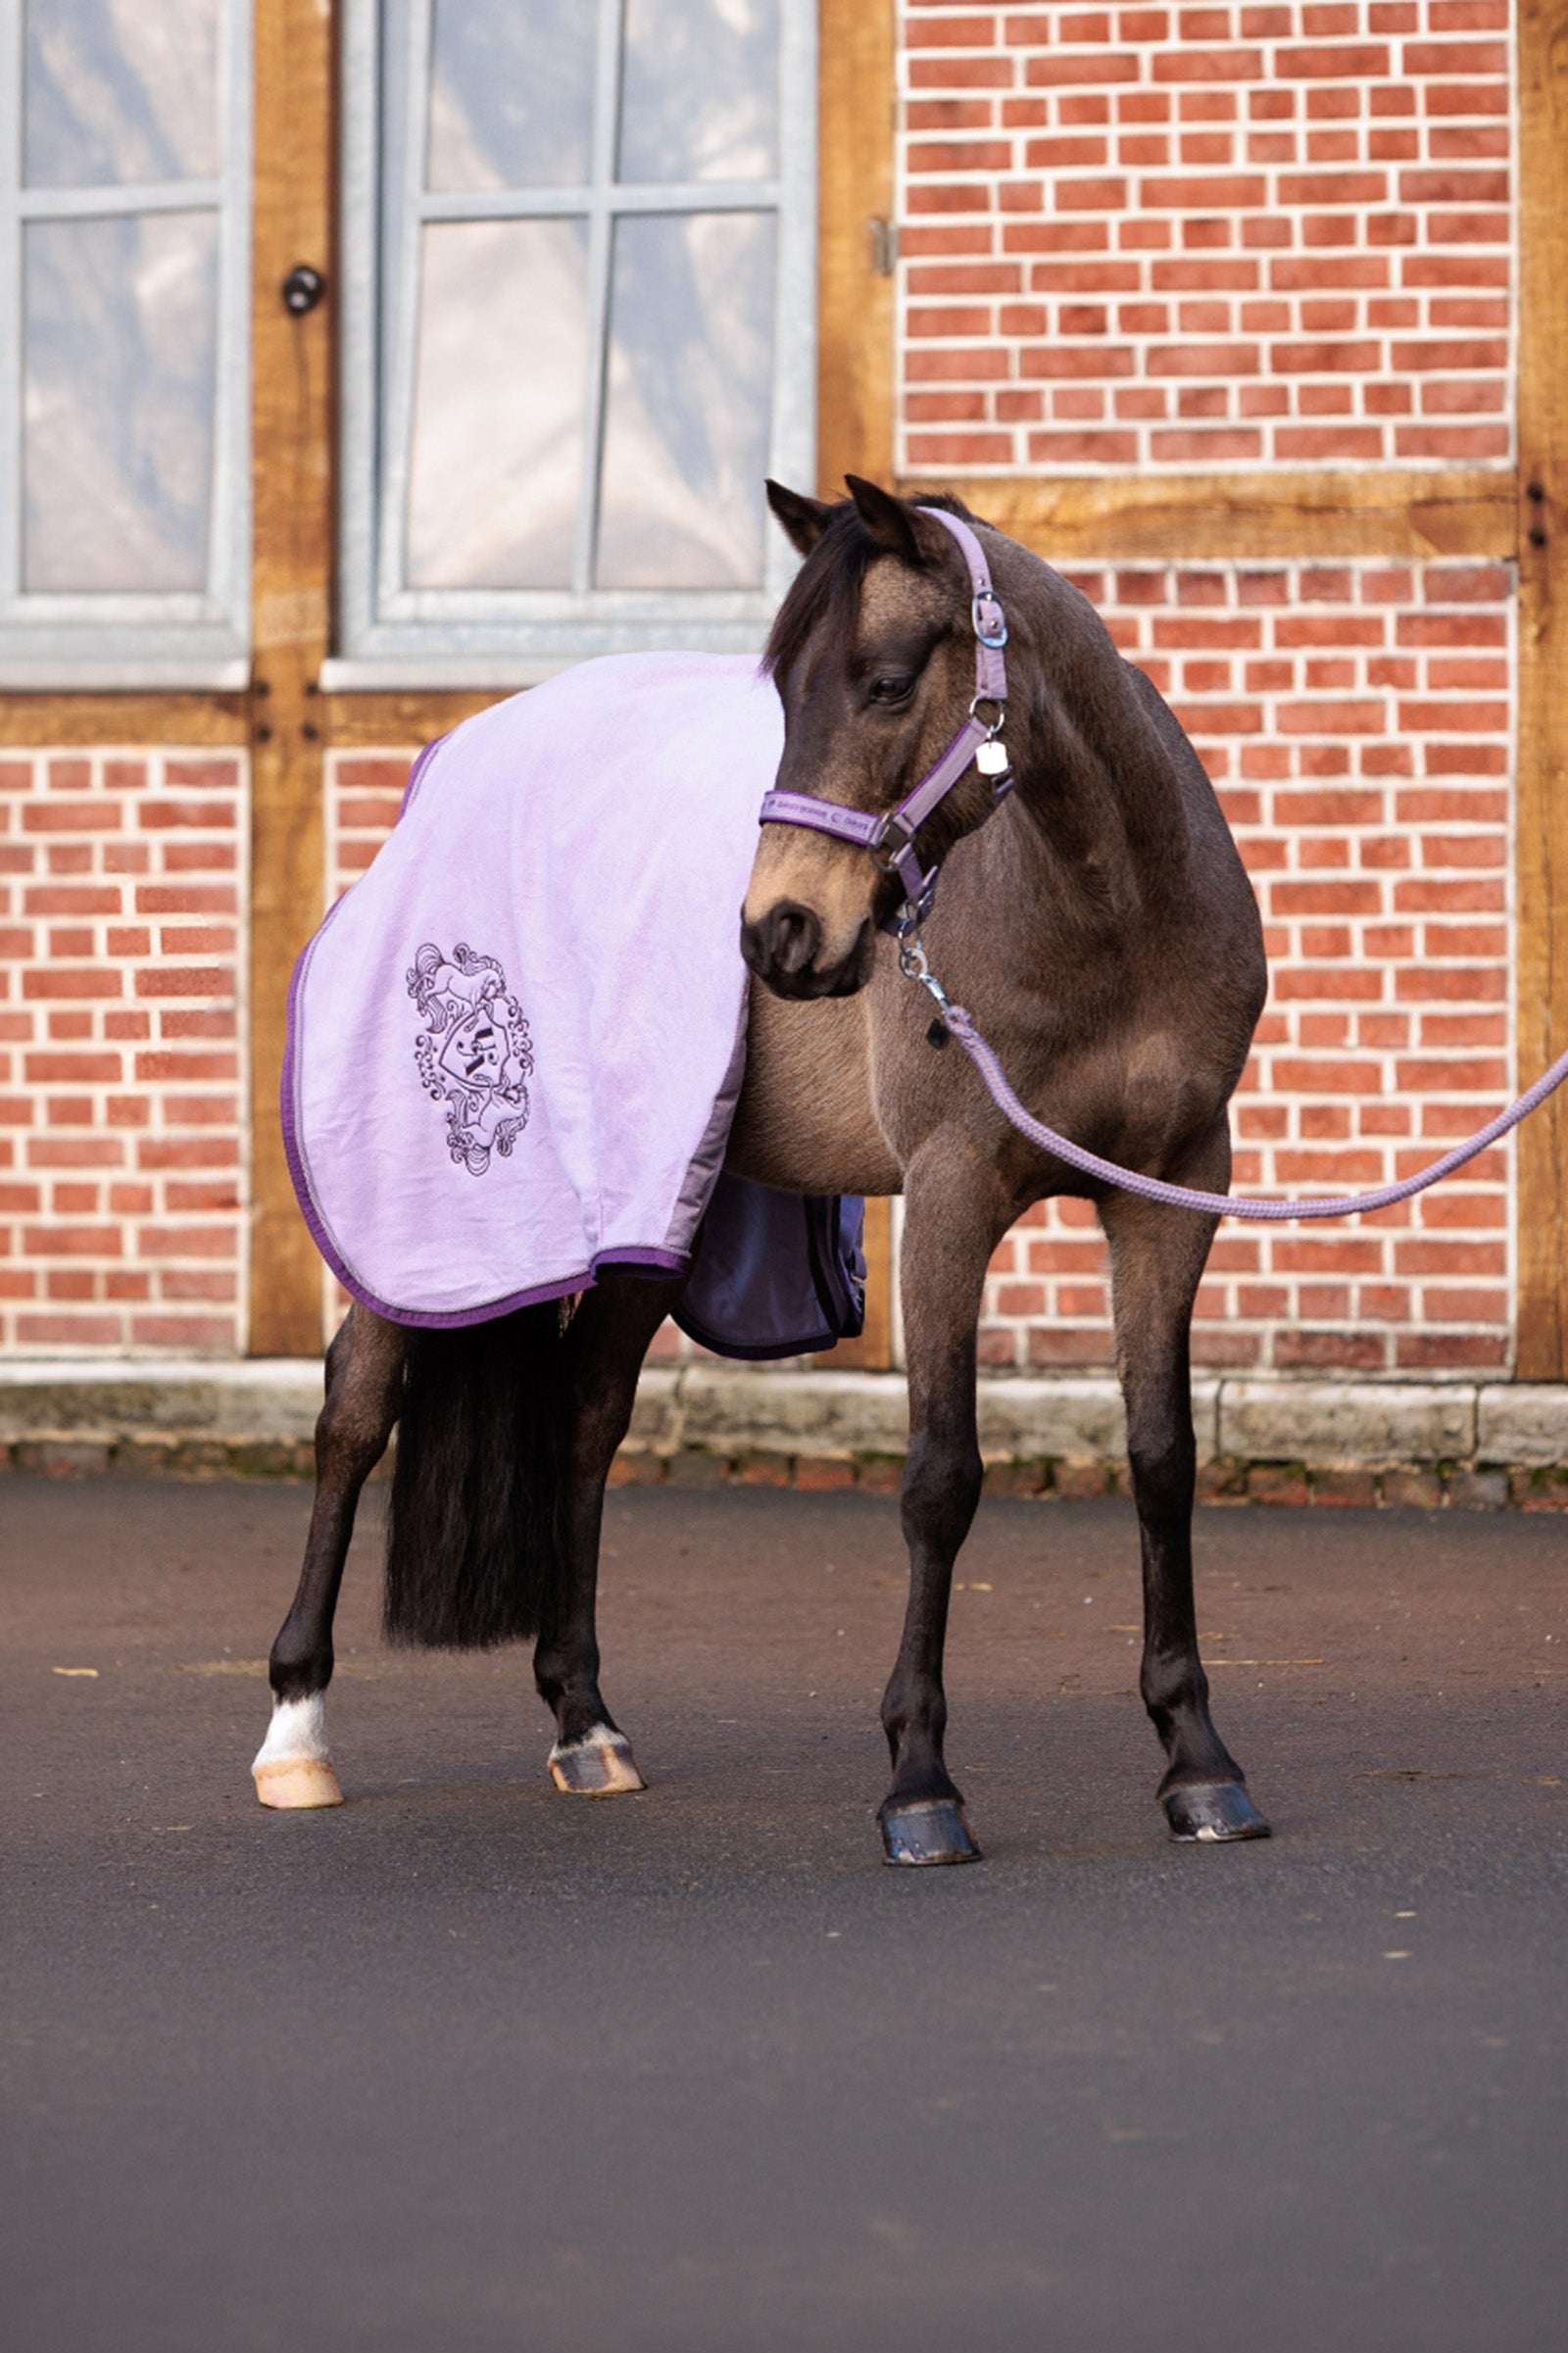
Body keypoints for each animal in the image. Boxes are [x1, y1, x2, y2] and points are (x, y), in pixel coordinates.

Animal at [252, 474, 1270, 1867]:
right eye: (783, 696)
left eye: (887, 683)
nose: (777, 933)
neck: (1100, 911)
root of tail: (440, 777)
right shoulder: (950, 1199)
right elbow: (940, 1480)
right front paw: (919, 1785)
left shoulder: (1169, 1196)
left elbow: (1162, 1459)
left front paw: (1197, 1760)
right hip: (442, 1219)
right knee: (355, 1410)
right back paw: (296, 1728)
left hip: (644, 1213)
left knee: (584, 1417)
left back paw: (585, 1722)